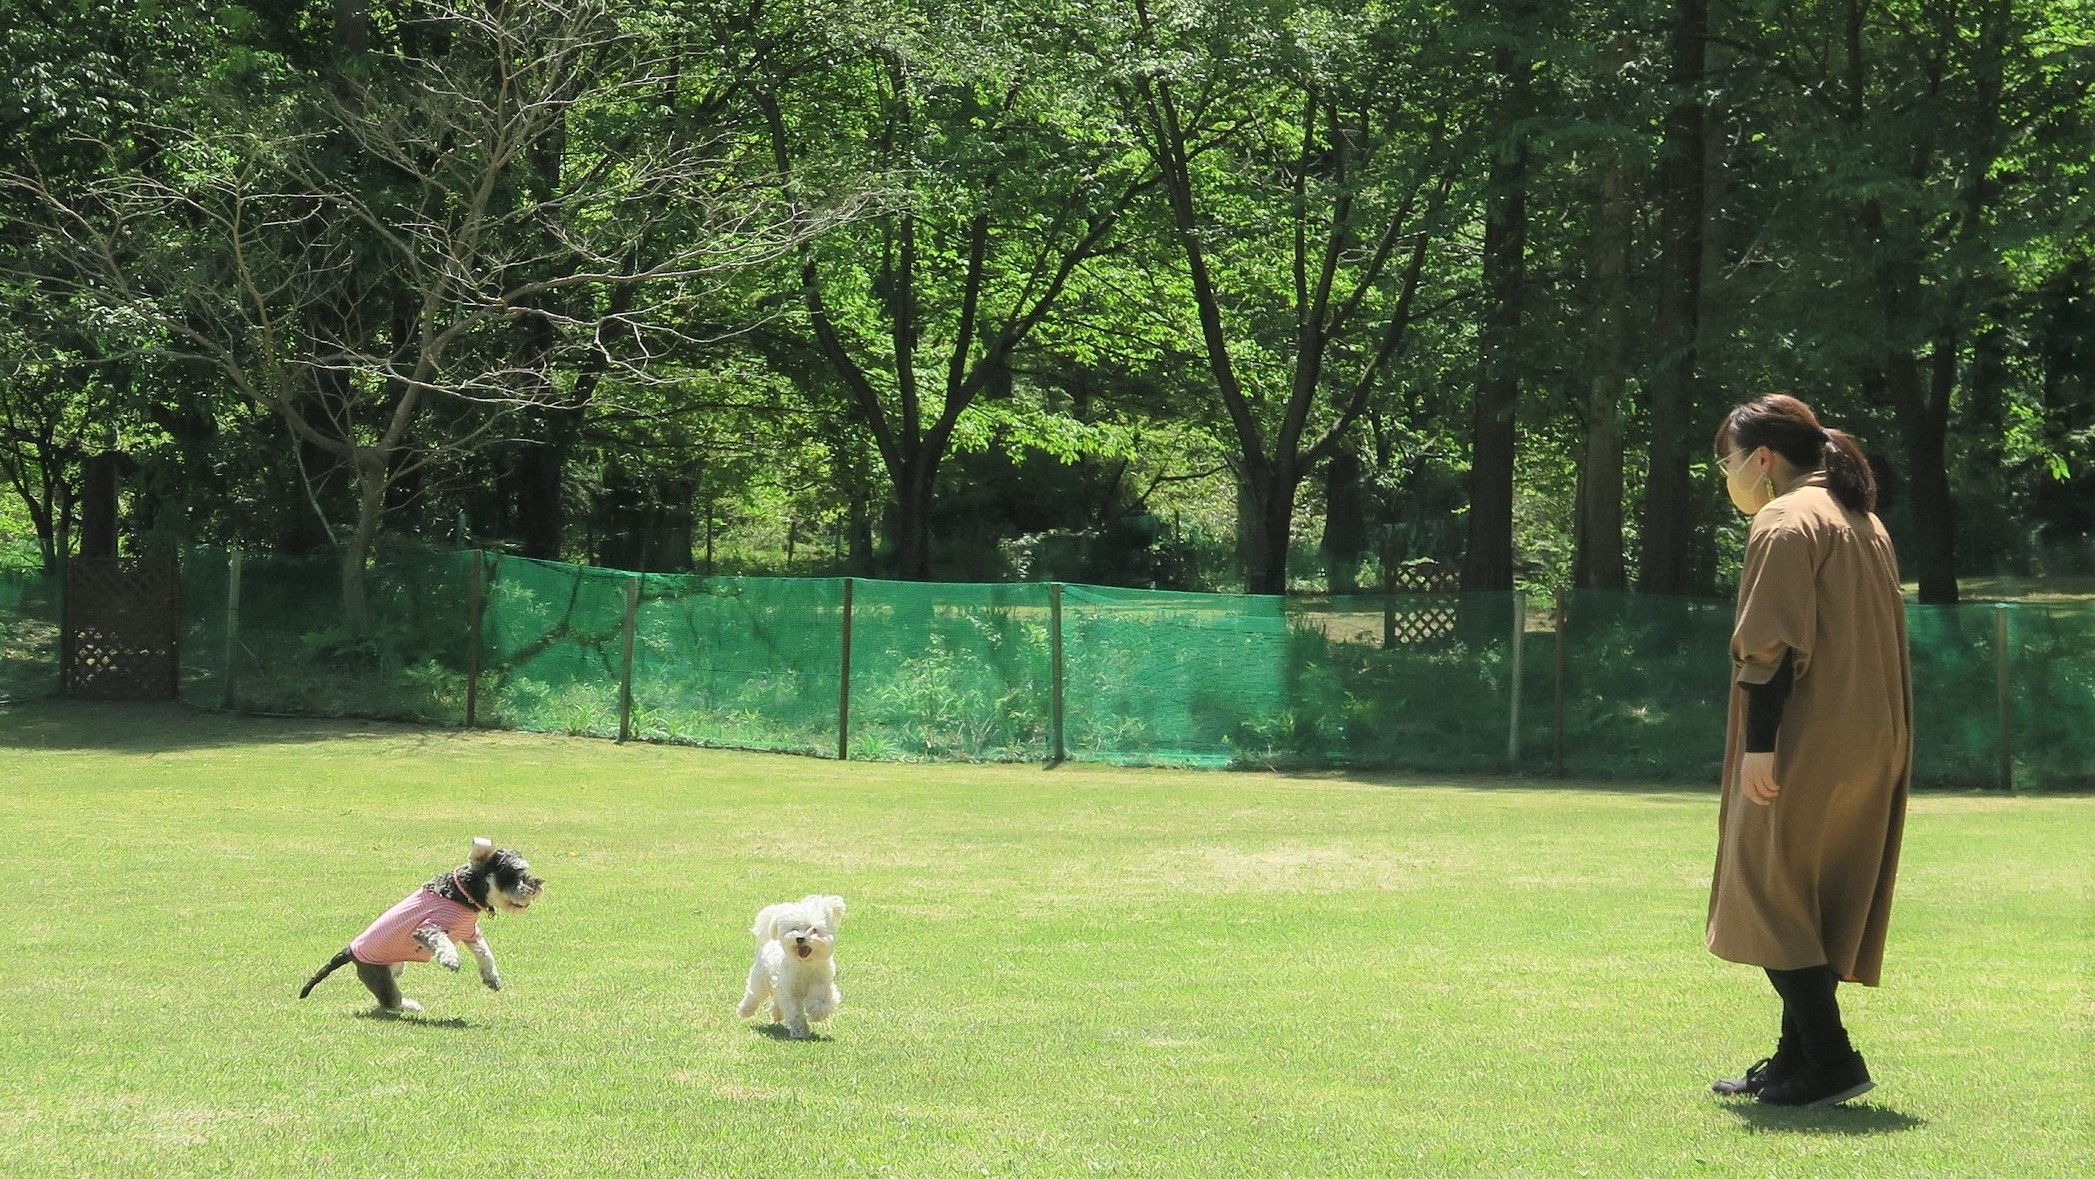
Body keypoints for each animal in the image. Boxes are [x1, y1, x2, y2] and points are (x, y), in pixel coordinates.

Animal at [297, 837, 544, 1013]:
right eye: (512, 873)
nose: (539, 885)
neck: (461, 892)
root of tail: (349, 950)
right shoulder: (428, 928)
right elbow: (443, 942)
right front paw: (451, 960)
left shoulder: (470, 932)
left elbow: (485, 953)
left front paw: (492, 978)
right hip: (381, 977)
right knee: (391, 1001)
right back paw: (413, 1006)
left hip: (396, 967)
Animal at [733, 896, 838, 1042]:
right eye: (794, 929)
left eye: (814, 929)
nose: (799, 938)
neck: (804, 964)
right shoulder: (790, 991)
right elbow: (794, 1012)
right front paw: (799, 1031)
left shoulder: (821, 983)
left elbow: (821, 999)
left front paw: (817, 1012)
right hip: (760, 979)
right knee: (754, 995)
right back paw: (745, 1011)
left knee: (776, 1001)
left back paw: (776, 1014)